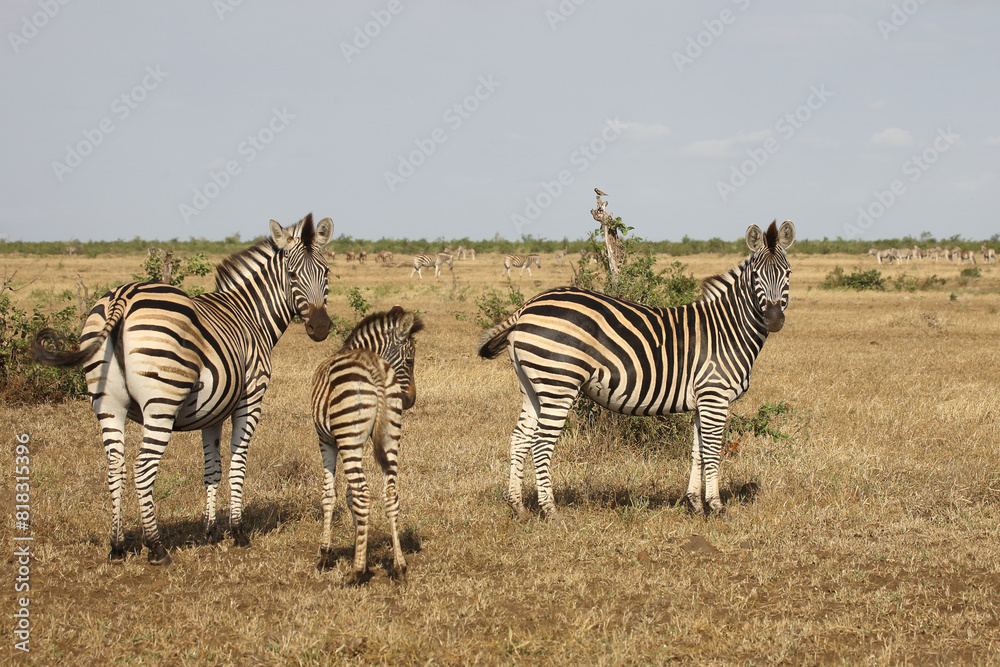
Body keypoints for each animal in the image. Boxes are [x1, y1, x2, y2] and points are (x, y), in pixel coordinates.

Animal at [32, 214, 334, 565]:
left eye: (325, 272)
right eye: (291, 274)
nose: (320, 327)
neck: (250, 315)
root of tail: (123, 297)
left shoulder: (213, 411)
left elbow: (212, 469)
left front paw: (209, 532)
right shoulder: (250, 398)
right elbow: (237, 464)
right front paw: (237, 531)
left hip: (107, 403)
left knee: (115, 468)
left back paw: (117, 546)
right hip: (161, 402)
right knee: (142, 469)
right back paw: (157, 547)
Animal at [313, 306, 424, 585]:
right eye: (410, 361)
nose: (410, 400)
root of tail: (374, 367)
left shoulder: (327, 440)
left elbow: (330, 494)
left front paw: (325, 554)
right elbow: (349, 496)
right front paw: (359, 543)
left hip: (348, 435)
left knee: (363, 493)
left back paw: (356, 572)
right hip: (390, 435)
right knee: (391, 493)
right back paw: (399, 566)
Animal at [478, 220, 795, 519]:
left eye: (788, 274)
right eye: (756, 276)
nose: (774, 320)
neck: (727, 328)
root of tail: (528, 305)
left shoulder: (702, 400)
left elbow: (698, 451)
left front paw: (695, 504)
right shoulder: (715, 395)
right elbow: (713, 451)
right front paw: (716, 506)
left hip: (532, 386)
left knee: (520, 439)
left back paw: (517, 507)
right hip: (558, 382)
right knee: (542, 444)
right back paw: (551, 511)